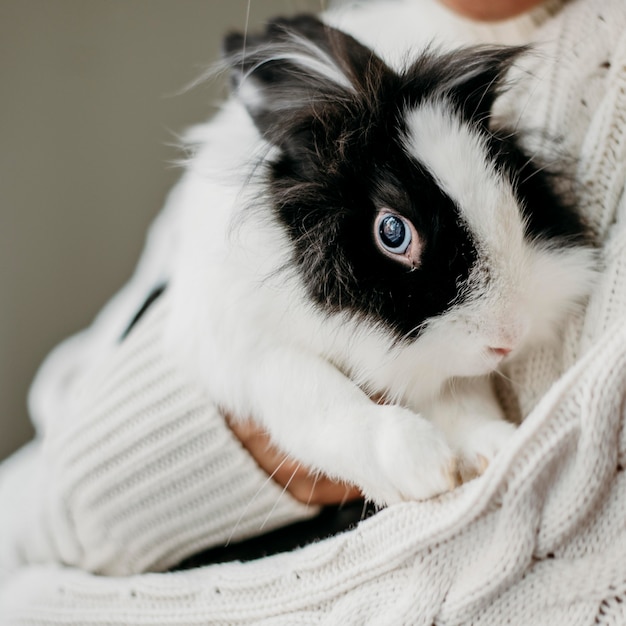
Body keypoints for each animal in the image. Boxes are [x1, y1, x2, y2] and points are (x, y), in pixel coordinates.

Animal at [165, 14, 596, 502]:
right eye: (393, 232)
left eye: (510, 174)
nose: (508, 339)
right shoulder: (252, 349)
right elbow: (323, 399)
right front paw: (426, 468)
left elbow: (459, 397)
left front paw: (495, 447)